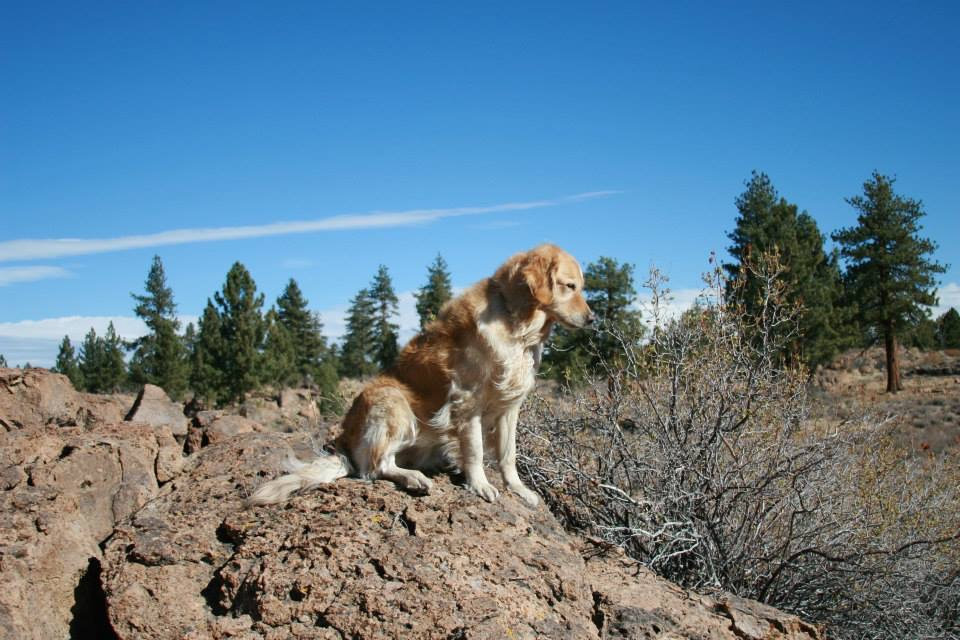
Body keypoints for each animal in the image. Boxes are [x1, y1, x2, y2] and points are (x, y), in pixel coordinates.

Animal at [248, 242, 592, 508]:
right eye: (569, 286)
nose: (593, 319)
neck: (516, 323)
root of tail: (345, 439)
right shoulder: (467, 401)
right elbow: (476, 450)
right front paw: (480, 484)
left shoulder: (509, 406)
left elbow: (508, 454)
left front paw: (518, 490)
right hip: (392, 401)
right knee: (374, 467)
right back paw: (413, 478)